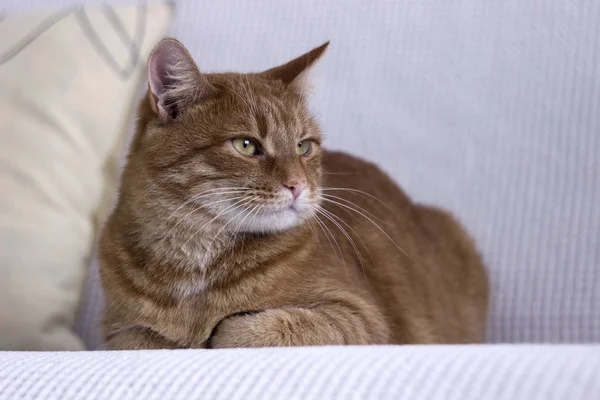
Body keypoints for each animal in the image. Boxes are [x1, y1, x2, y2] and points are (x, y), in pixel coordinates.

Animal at [98, 39, 490, 348]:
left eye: (303, 146)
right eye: (246, 145)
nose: (298, 185)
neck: (195, 255)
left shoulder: (362, 317)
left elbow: (248, 328)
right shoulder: (118, 332)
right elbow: (143, 337)